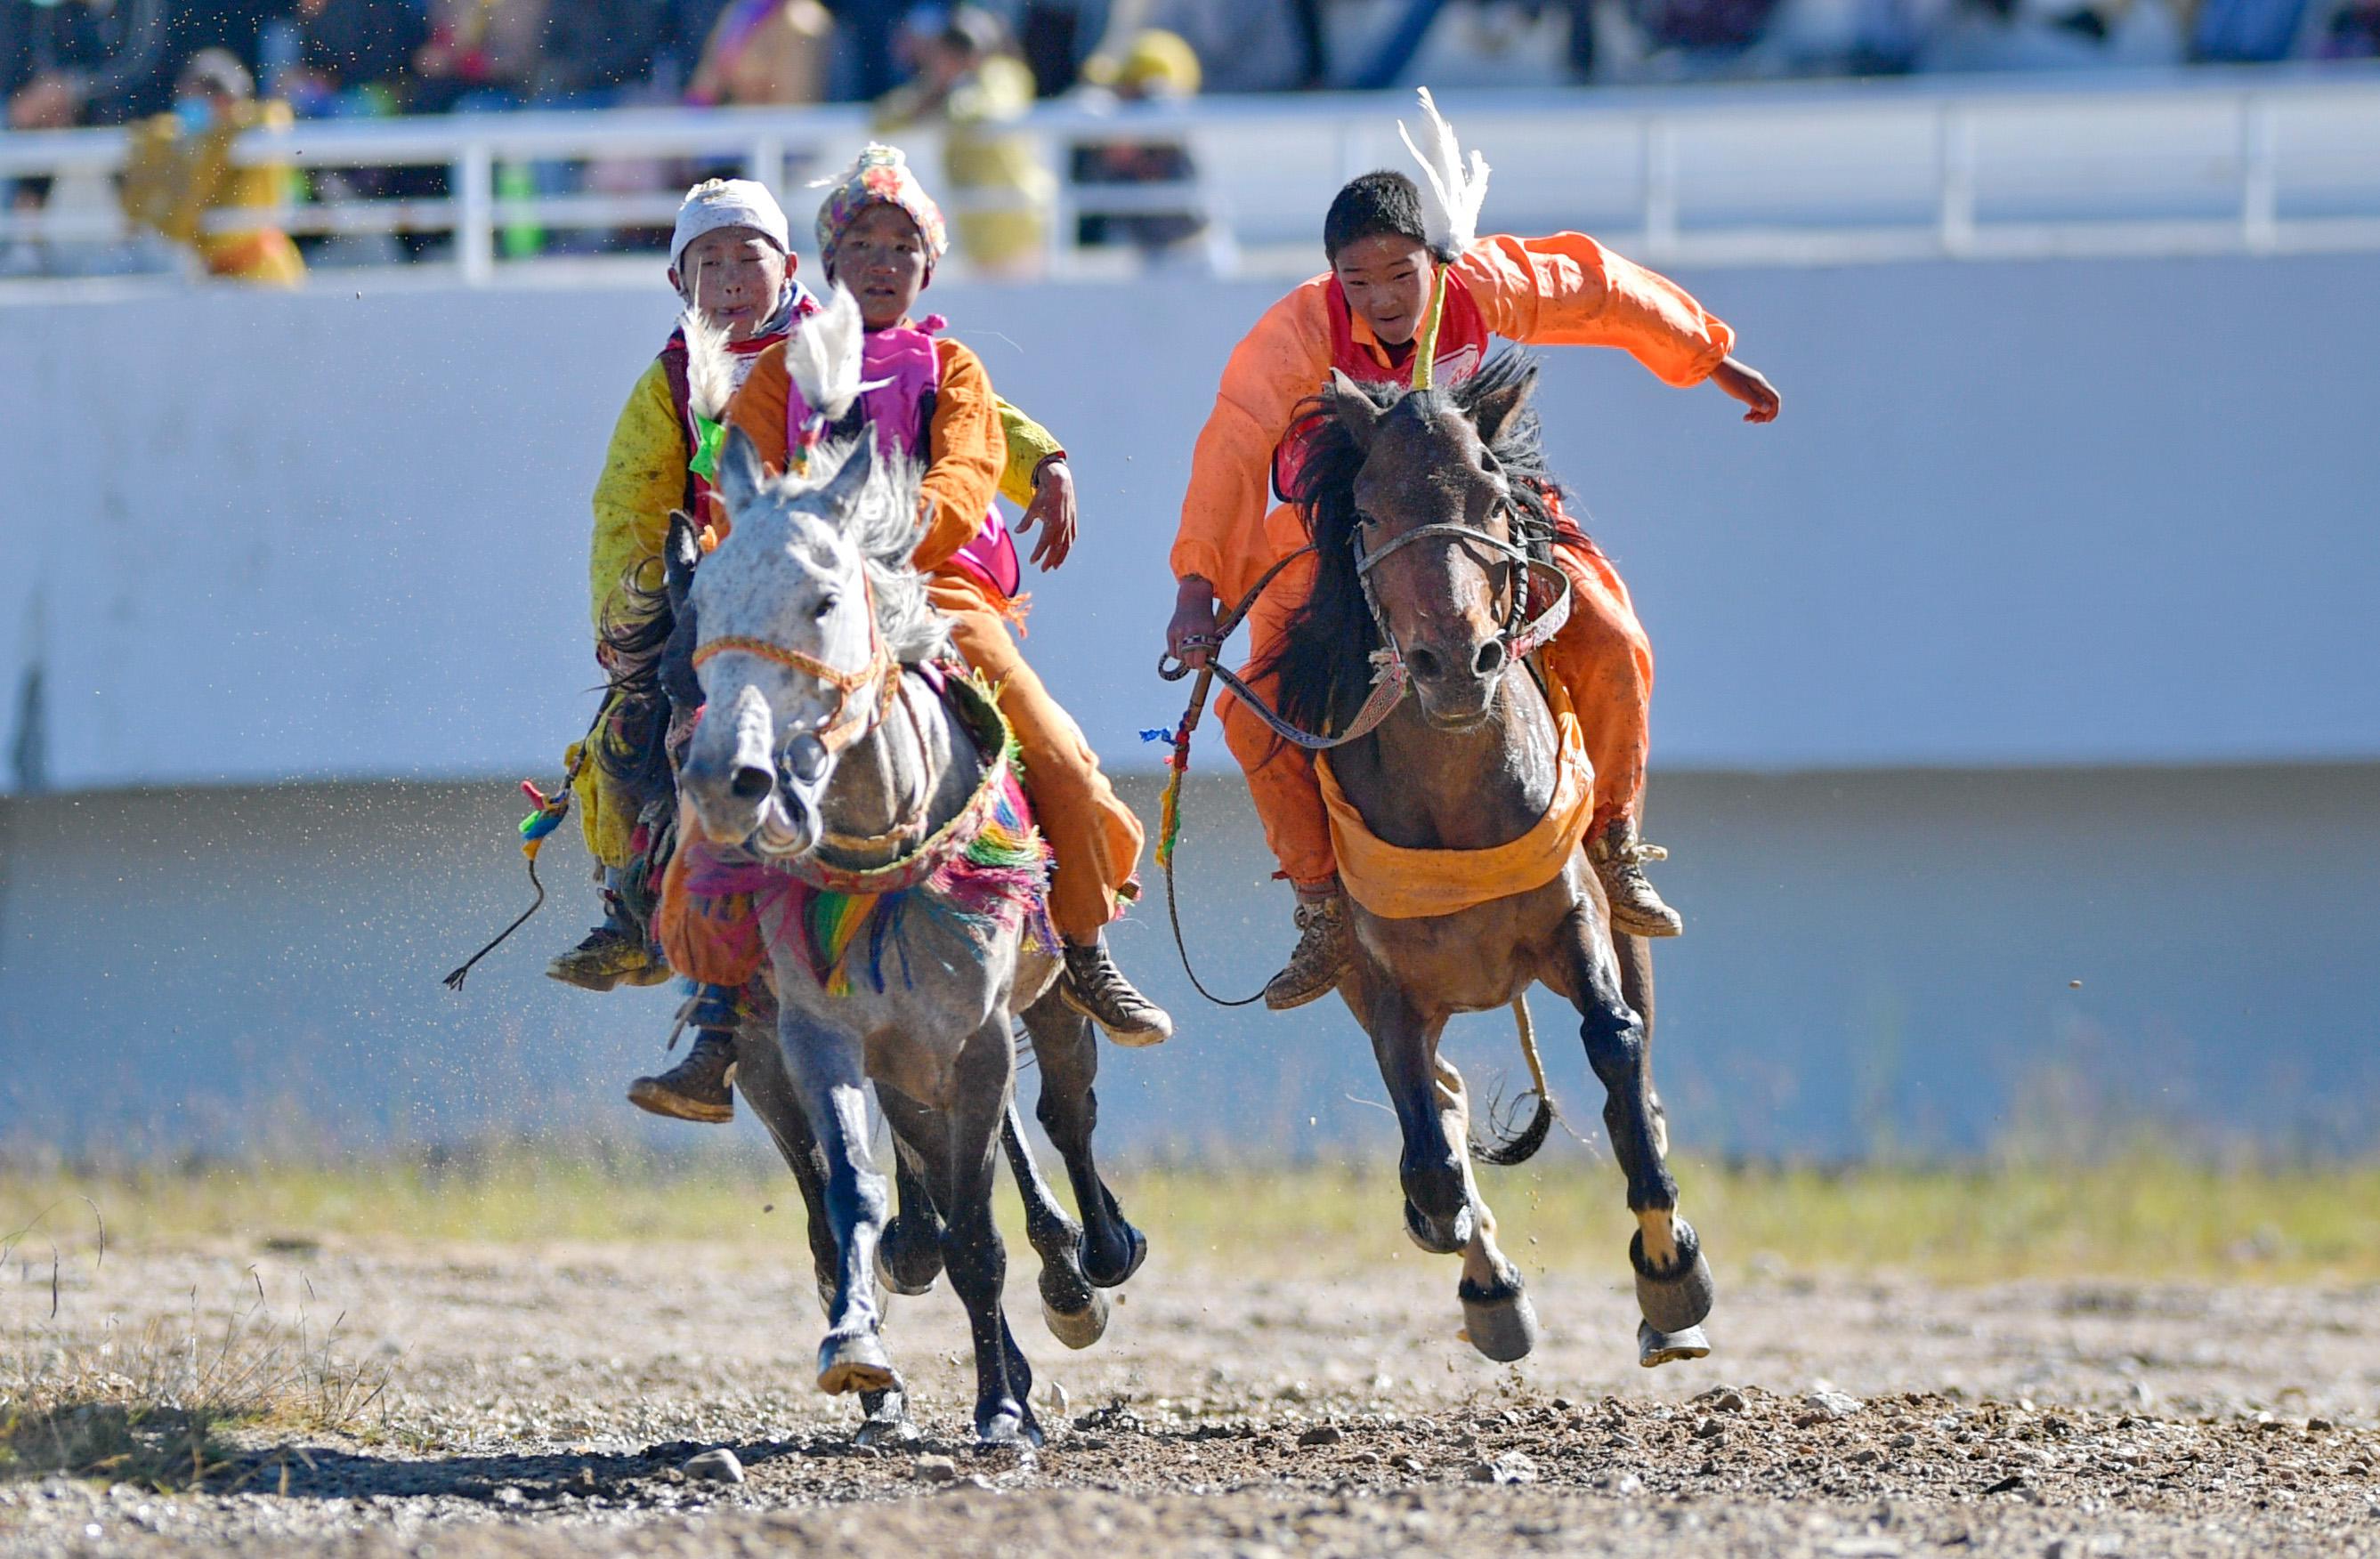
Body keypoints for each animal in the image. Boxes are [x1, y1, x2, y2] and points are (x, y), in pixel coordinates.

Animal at [671, 425, 1104, 1447]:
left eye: (824, 600)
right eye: (701, 605)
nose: (725, 778)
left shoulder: (978, 1041)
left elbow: (978, 1228)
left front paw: (1001, 1410)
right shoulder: (813, 1037)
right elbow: (855, 1194)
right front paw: (856, 1347)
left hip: (1041, 1000)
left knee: (1068, 1109)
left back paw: (1089, 1266)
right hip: (860, 1059)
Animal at [1266, 350, 1713, 1370]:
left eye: (1493, 501)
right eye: (1368, 511)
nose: (1455, 661)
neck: (1455, 807)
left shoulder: (1573, 916)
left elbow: (1616, 1049)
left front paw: (1670, 1269)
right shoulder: (1384, 982)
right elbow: (1429, 1147)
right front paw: (1464, 1246)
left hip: (1624, 925)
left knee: (1634, 1067)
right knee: (1442, 1103)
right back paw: (1486, 1279)